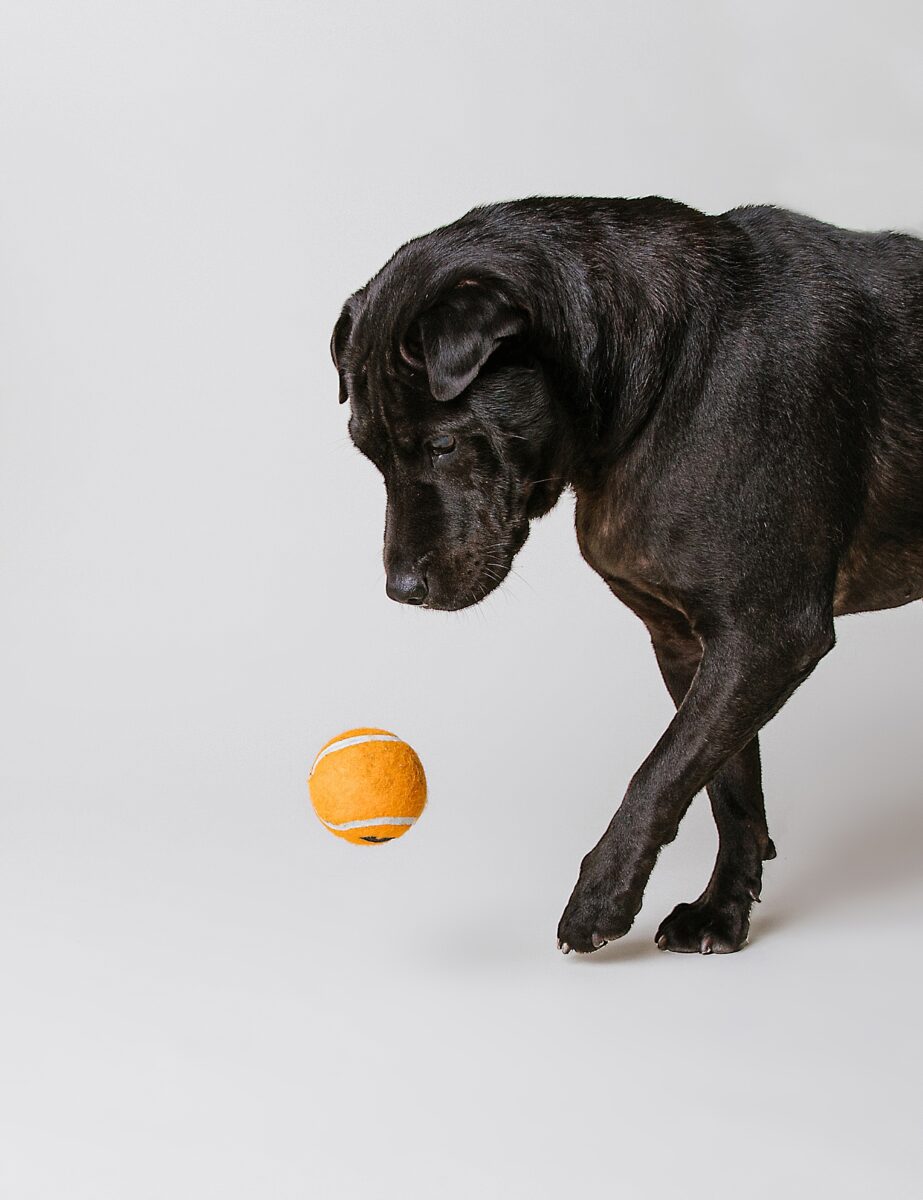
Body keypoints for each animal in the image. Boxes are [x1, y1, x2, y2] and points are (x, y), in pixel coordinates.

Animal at [331, 196, 921, 955]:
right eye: (367, 452)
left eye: (441, 443)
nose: (400, 590)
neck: (666, 374)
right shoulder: (688, 643)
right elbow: (726, 786)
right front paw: (721, 911)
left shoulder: (767, 635)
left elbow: (661, 771)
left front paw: (600, 898)